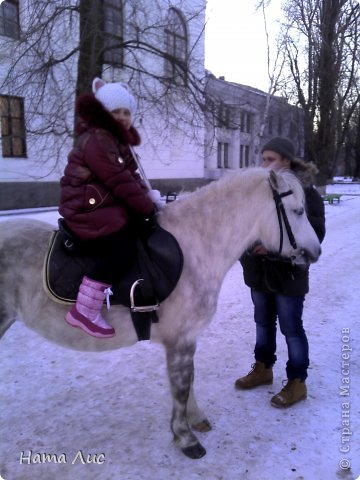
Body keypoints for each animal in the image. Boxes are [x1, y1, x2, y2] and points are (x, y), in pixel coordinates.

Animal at [0, 168, 320, 458]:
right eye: (297, 211)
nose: (315, 251)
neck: (195, 246)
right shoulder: (180, 340)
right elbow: (180, 386)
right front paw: (185, 438)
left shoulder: (187, 338)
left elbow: (189, 380)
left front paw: (195, 419)